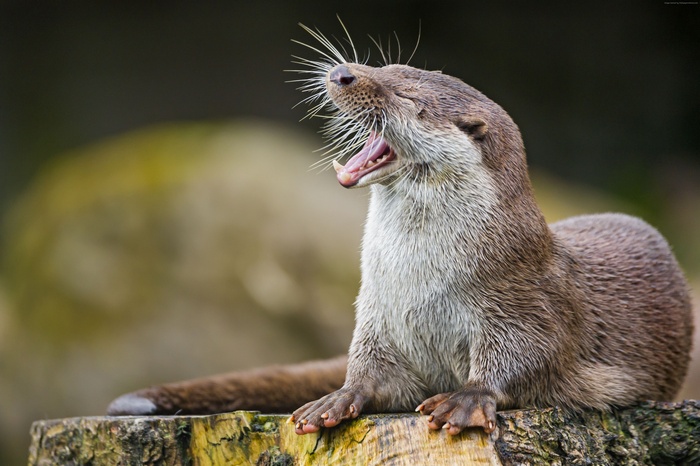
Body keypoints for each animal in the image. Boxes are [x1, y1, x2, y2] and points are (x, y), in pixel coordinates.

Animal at [108, 27, 693, 436]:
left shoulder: (524, 299)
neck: (419, 280)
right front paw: (339, 397)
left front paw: (465, 398)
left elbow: (529, 356)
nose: (344, 72)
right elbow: (370, 371)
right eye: (386, 66)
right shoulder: (377, 314)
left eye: (407, 98)